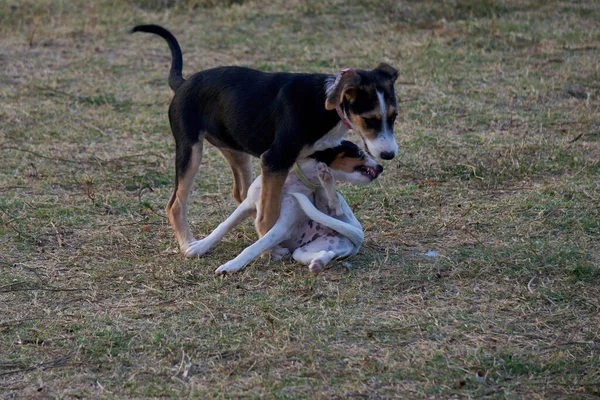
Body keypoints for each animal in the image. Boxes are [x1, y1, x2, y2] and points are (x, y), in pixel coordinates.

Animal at [134, 25, 400, 253]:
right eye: (369, 120)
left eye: (393, 116)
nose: (389, 155)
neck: (325, 104)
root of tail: (182, 83)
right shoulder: (275, 160)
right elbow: (269, 213)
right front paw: (270, 242)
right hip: (190, 151)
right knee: (176, 204)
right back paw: (188, 244)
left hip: (238, 153)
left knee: (240, 193)